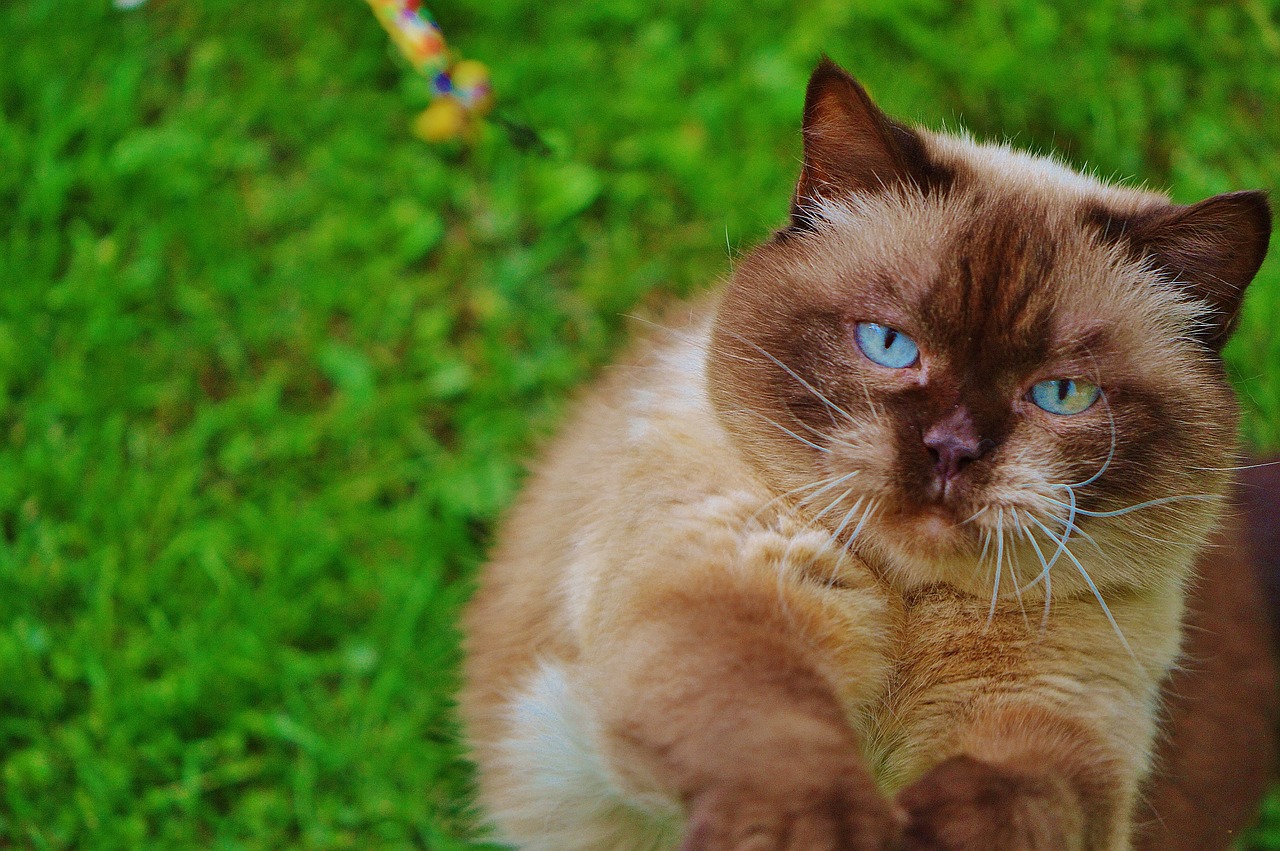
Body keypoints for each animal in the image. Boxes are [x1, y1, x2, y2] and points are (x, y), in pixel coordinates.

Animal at [458, 56, 1269, 844]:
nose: (951, 449)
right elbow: (779, 739)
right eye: (888, 344)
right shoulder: (726, 599)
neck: (916, 601)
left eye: (1060, 394)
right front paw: (838, 831)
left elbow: (1017, 796)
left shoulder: (1060, 718)